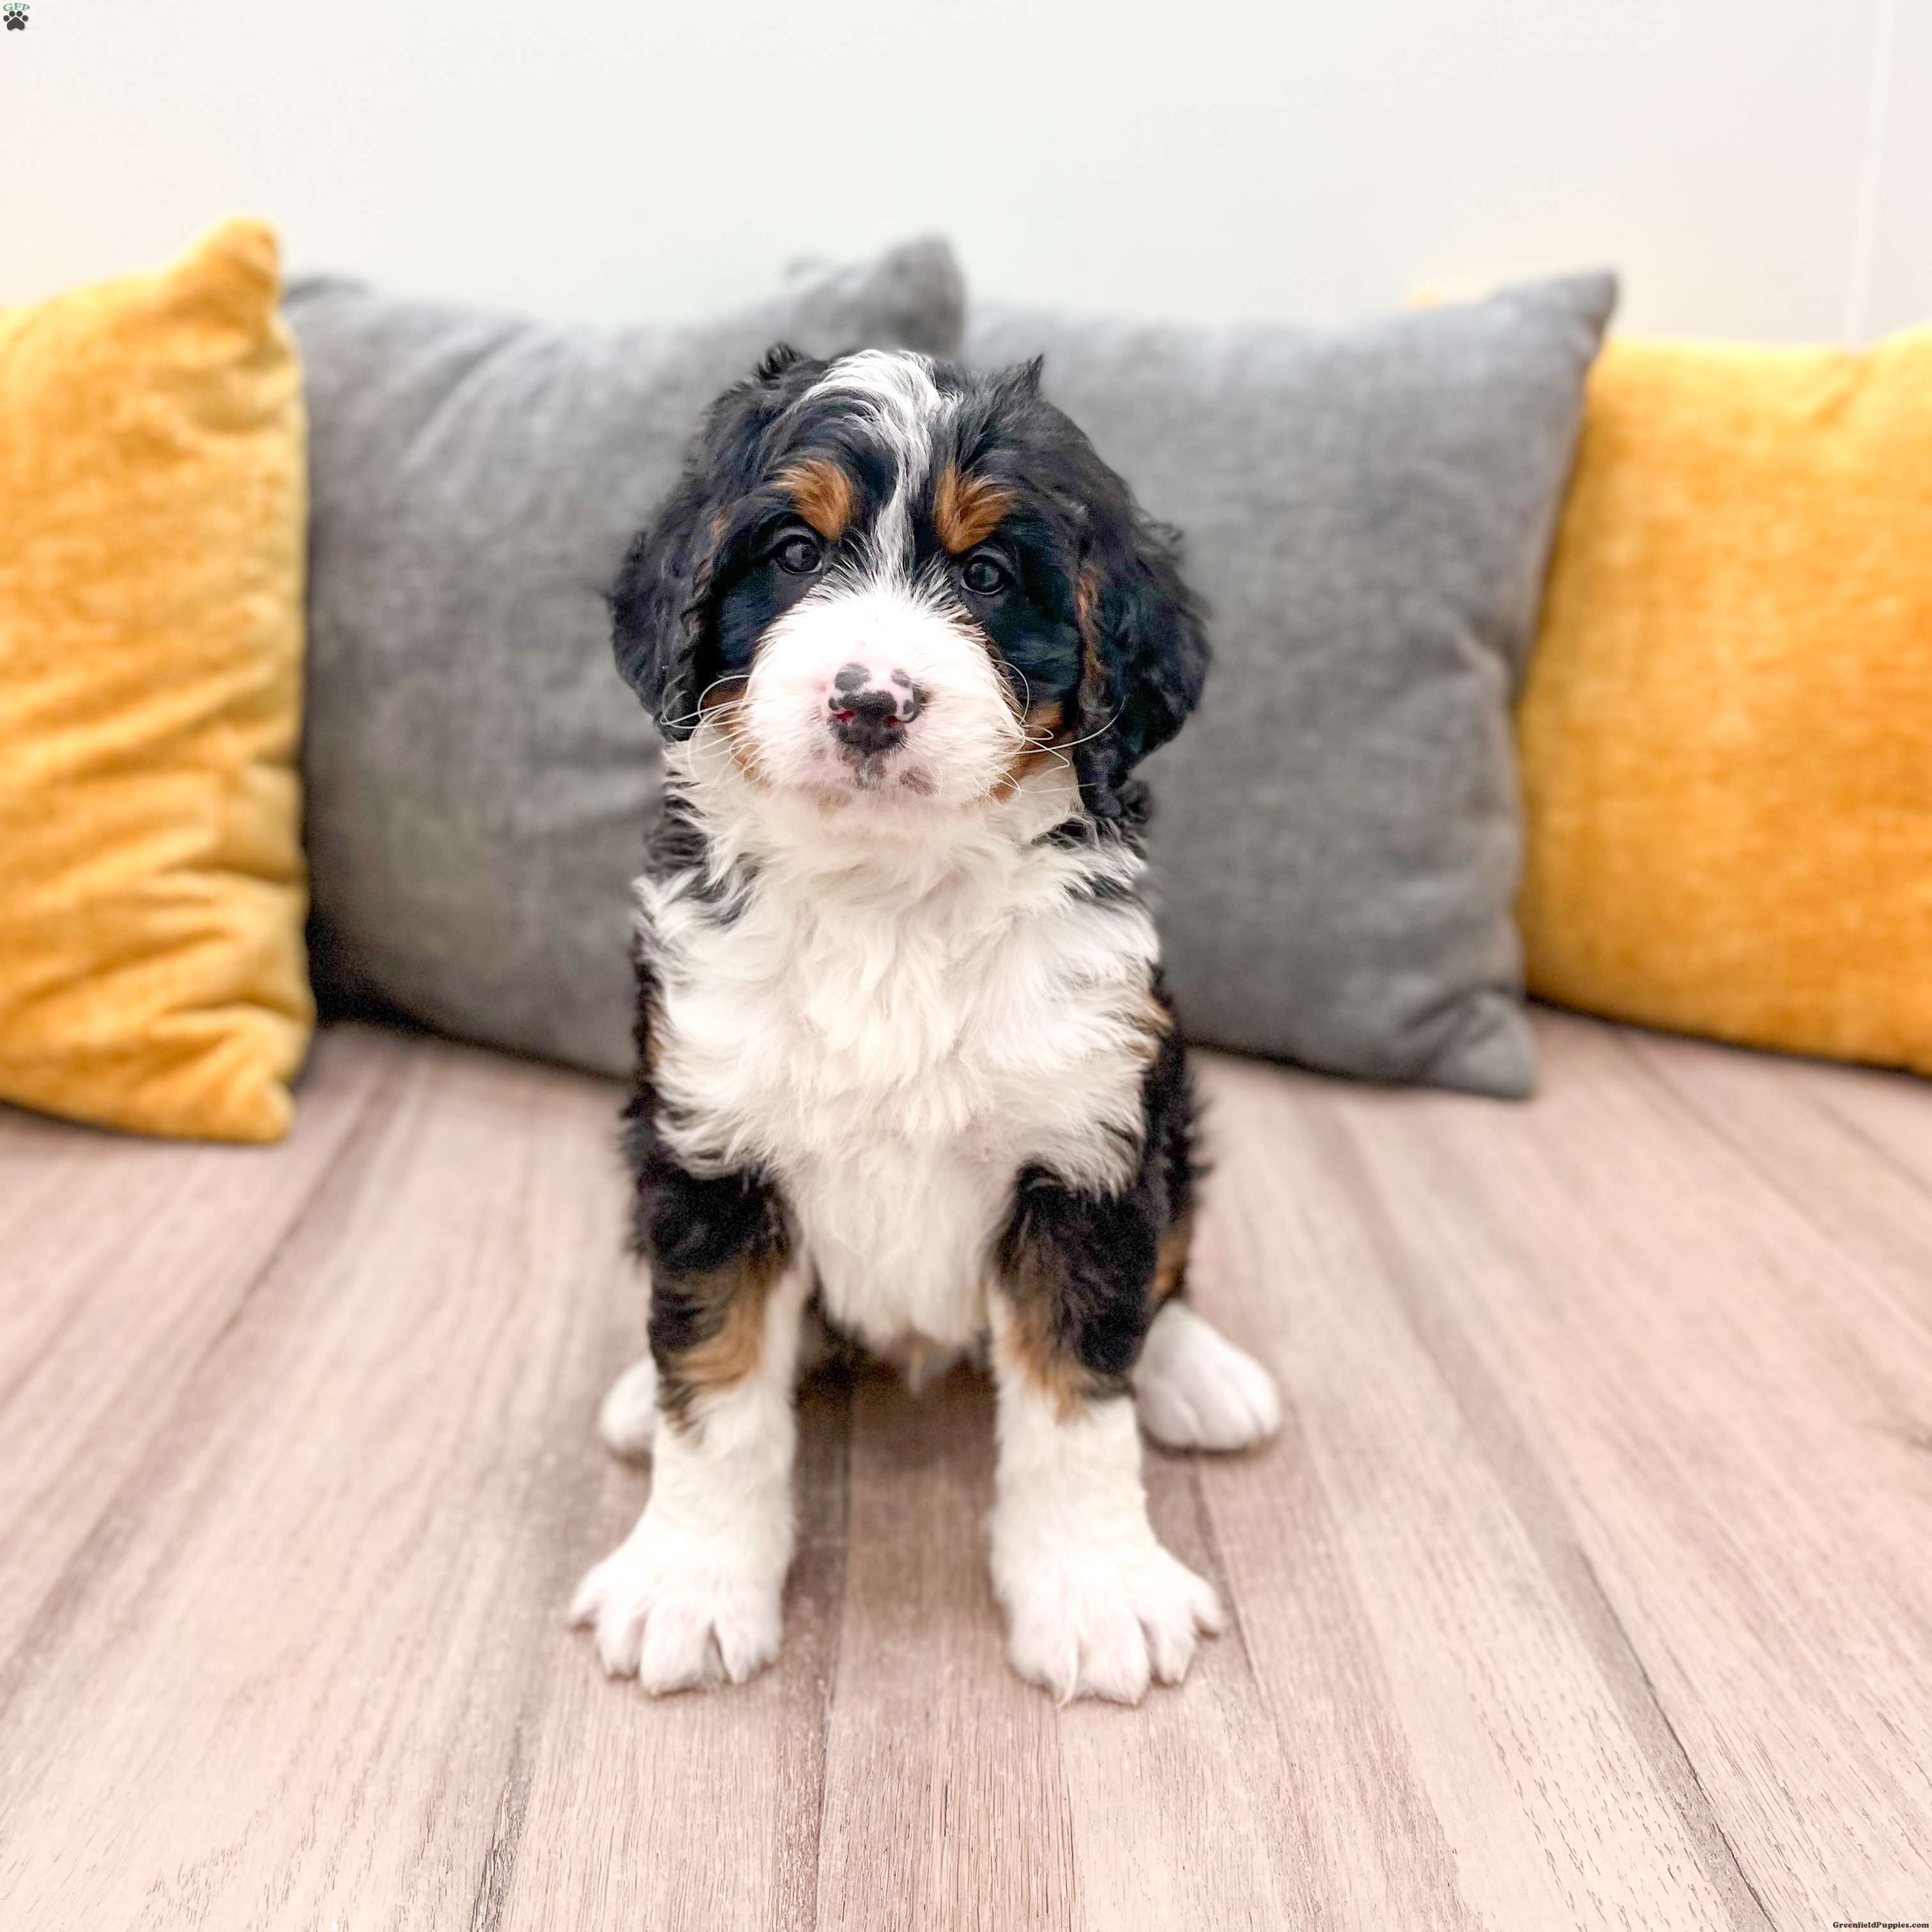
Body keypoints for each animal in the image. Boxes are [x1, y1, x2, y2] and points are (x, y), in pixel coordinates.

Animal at [570, 345, 1281, 1704]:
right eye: (794, 553)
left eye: (989, 575)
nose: (871, 702)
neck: (886, 894)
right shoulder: (709, 1142)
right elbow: (715, 1381)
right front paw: (688, 1582)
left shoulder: (1084, 1138)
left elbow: (1079, 1391)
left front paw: (1095, 1592)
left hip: (1171, 1100)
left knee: (1166, 1270)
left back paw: (1199, 1373)